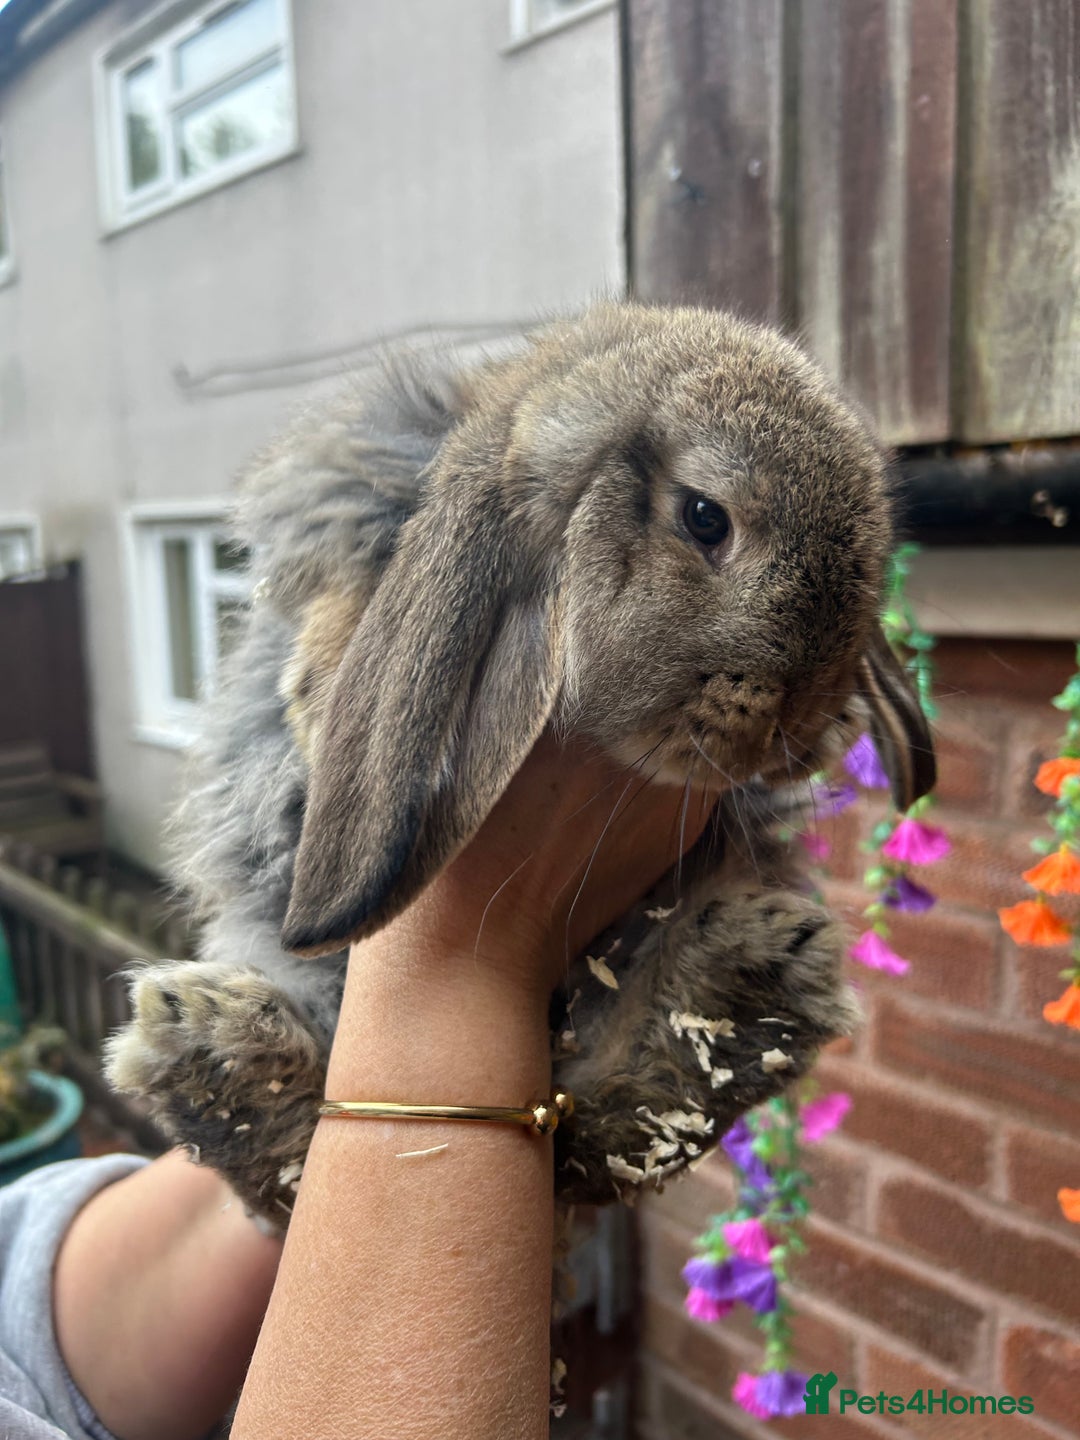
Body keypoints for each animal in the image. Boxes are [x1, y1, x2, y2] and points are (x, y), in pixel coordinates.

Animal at [105, 301, 934, 1227]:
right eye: (704, 517)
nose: (801, 720)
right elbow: (337, 607)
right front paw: (316, 704)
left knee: (604, 1129)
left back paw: (751, 979)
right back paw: (209, 1045)